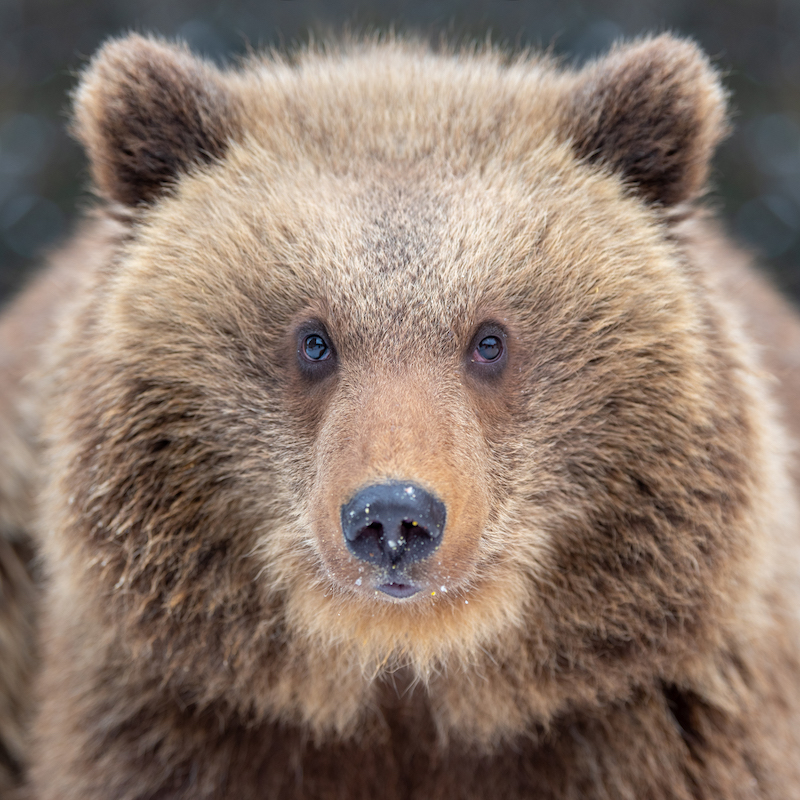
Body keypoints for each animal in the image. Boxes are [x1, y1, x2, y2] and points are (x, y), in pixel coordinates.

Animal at [1, 29, 800, 800]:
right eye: (314, 338)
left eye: (489, 338)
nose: (393, 514)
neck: (403, 681)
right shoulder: (171, 729)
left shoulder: (652, 732)